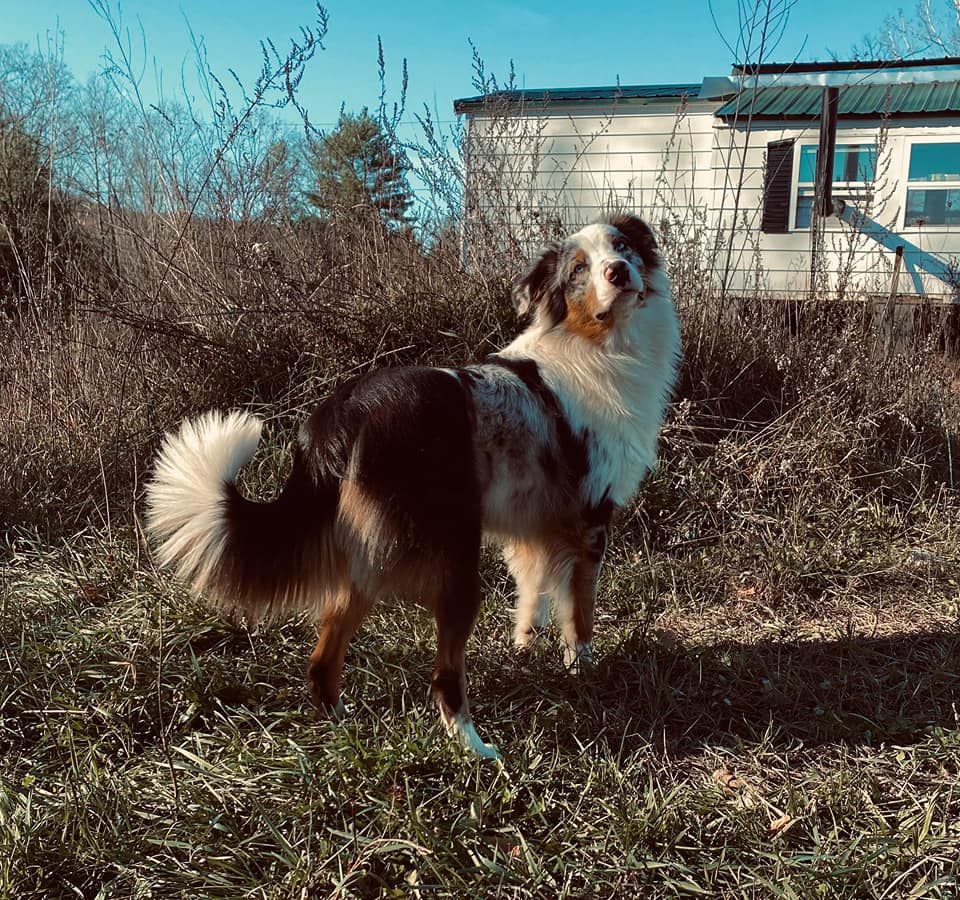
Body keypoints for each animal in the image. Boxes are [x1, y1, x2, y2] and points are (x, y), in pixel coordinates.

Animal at [146, 214, 680, 756]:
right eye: (578, 270)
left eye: (622, 246)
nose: (618, 272)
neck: (593, 342)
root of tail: (341, 414)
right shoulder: (589, 521)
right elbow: (580, 612)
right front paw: (584, 672)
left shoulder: (535, 524)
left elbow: (537, 592)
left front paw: (528, 645)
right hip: (455, 563)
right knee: (444, 677)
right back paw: (475, 748)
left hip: (369, 557)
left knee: (323, 654)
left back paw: (342, 724)